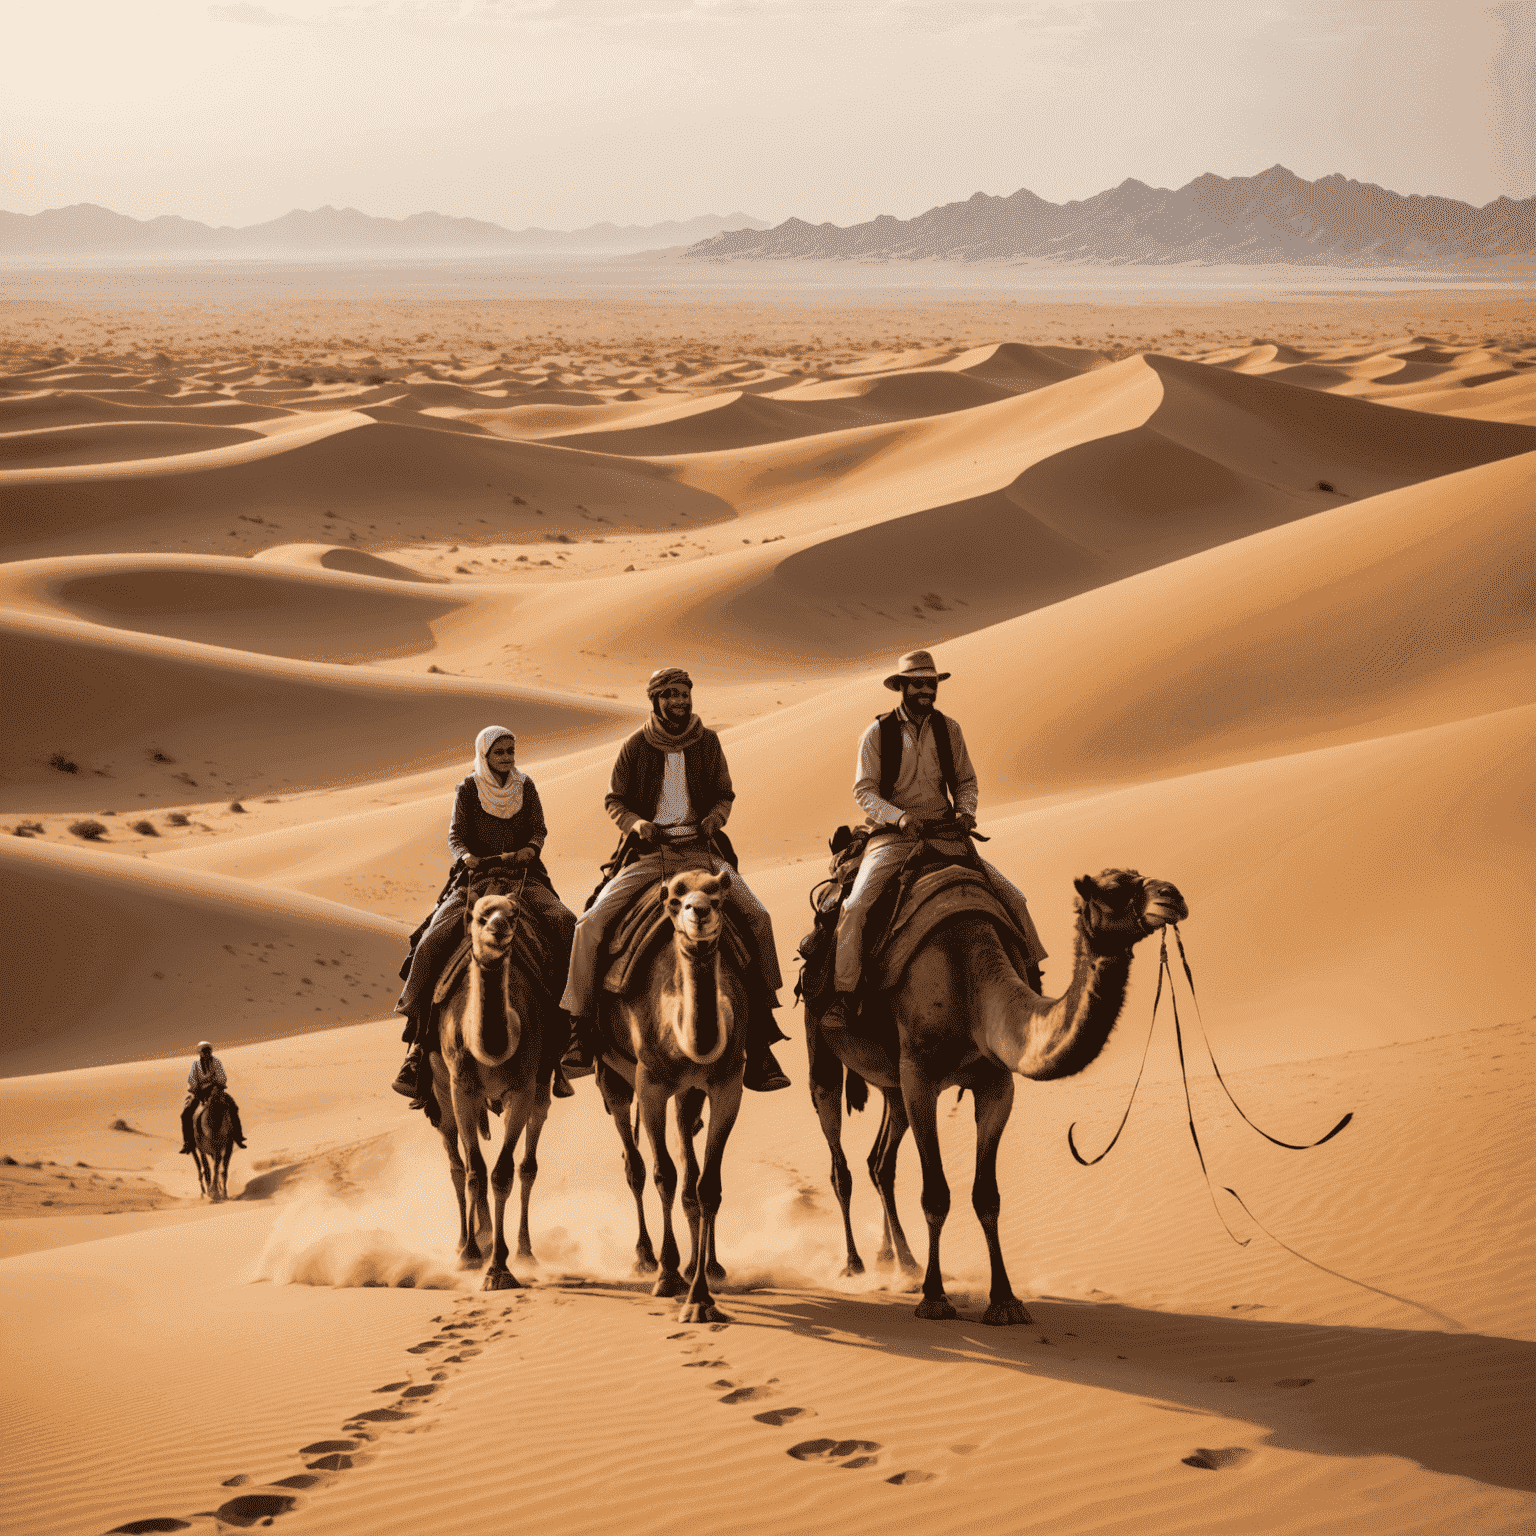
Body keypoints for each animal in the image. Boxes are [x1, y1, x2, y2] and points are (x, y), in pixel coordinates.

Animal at [430, 878, 562, 1284]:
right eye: (479, 915)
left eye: (513, 914)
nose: (499, 928)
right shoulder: (460, 1087)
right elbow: (474, 1171)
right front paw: (472, 1256)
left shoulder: (522, 1089)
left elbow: (503, 1173)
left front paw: (500, 1268)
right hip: (441, 1093)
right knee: (457, 1165)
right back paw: (469, 1241)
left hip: (538, 1091)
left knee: (526, 1167)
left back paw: (522, 1250)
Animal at [589, 866, 752, 1320]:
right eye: (675, 902)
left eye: (719, 898)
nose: (698, 912)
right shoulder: (651, 1085)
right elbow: (664, 1175)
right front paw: (668, 1277)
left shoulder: (727, 1084)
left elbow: (707, 1185)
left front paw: (701, 1296)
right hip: (614, 1078)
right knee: (635, 1165)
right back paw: (645, 1258)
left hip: (688, 1093)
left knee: (690, 1171)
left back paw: (709, 1265)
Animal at [804, 866, 1185, 1320]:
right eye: (1113, 890)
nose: (1174, 896)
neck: (969, 979)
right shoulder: (919, 1077)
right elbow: (936, 1195)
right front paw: (935, 1299)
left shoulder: (996, 1085)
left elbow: (987, 1196)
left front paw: (1004, 1301)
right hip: (822, 1048)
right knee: (838, 1161)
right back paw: (855, 1265)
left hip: (890, 1084)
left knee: (880, 1162)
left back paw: (902, 1263)